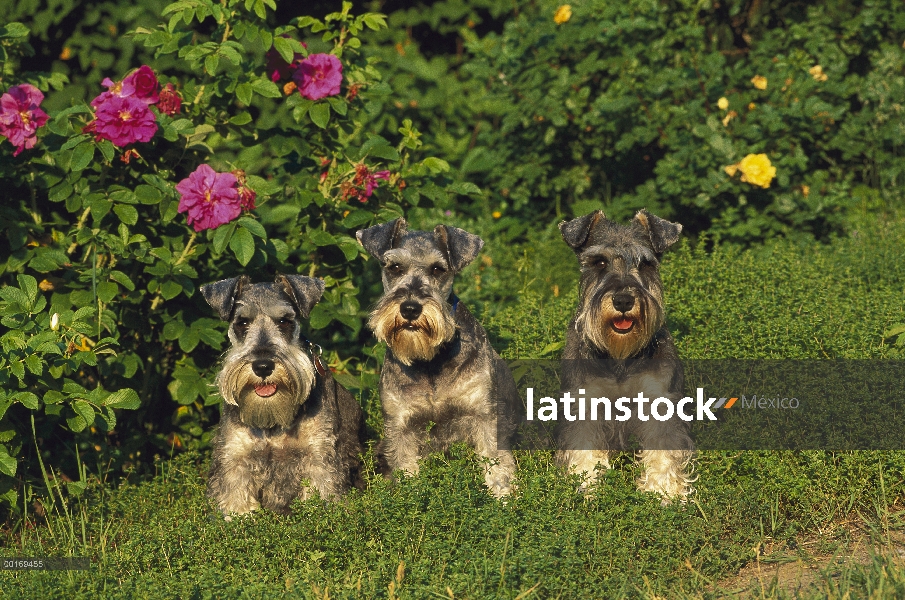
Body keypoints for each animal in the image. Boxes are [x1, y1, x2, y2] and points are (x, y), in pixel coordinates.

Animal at [202, 274, 364, 516]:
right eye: (242, 322)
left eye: (284, 321)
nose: (262, 366)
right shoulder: (236, 460)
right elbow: (235, 502)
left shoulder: (319, 459)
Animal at [356, 218, 520, 500]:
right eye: (394, 267)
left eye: (437, 269)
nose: (410, 308)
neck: (430, 362)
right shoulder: (401, 426)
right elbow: (406, 470)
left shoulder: (484, 416)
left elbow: (496, 463)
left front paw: (504, 499)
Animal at [552, 209, 692, 504]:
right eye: (599, 262)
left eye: (645, 264)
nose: (624, 300)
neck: (620, 356)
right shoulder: (585, 402)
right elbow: (584, 445)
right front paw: (587, 486)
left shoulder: (658, 401)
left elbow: (663, 449)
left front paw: (663, 493)